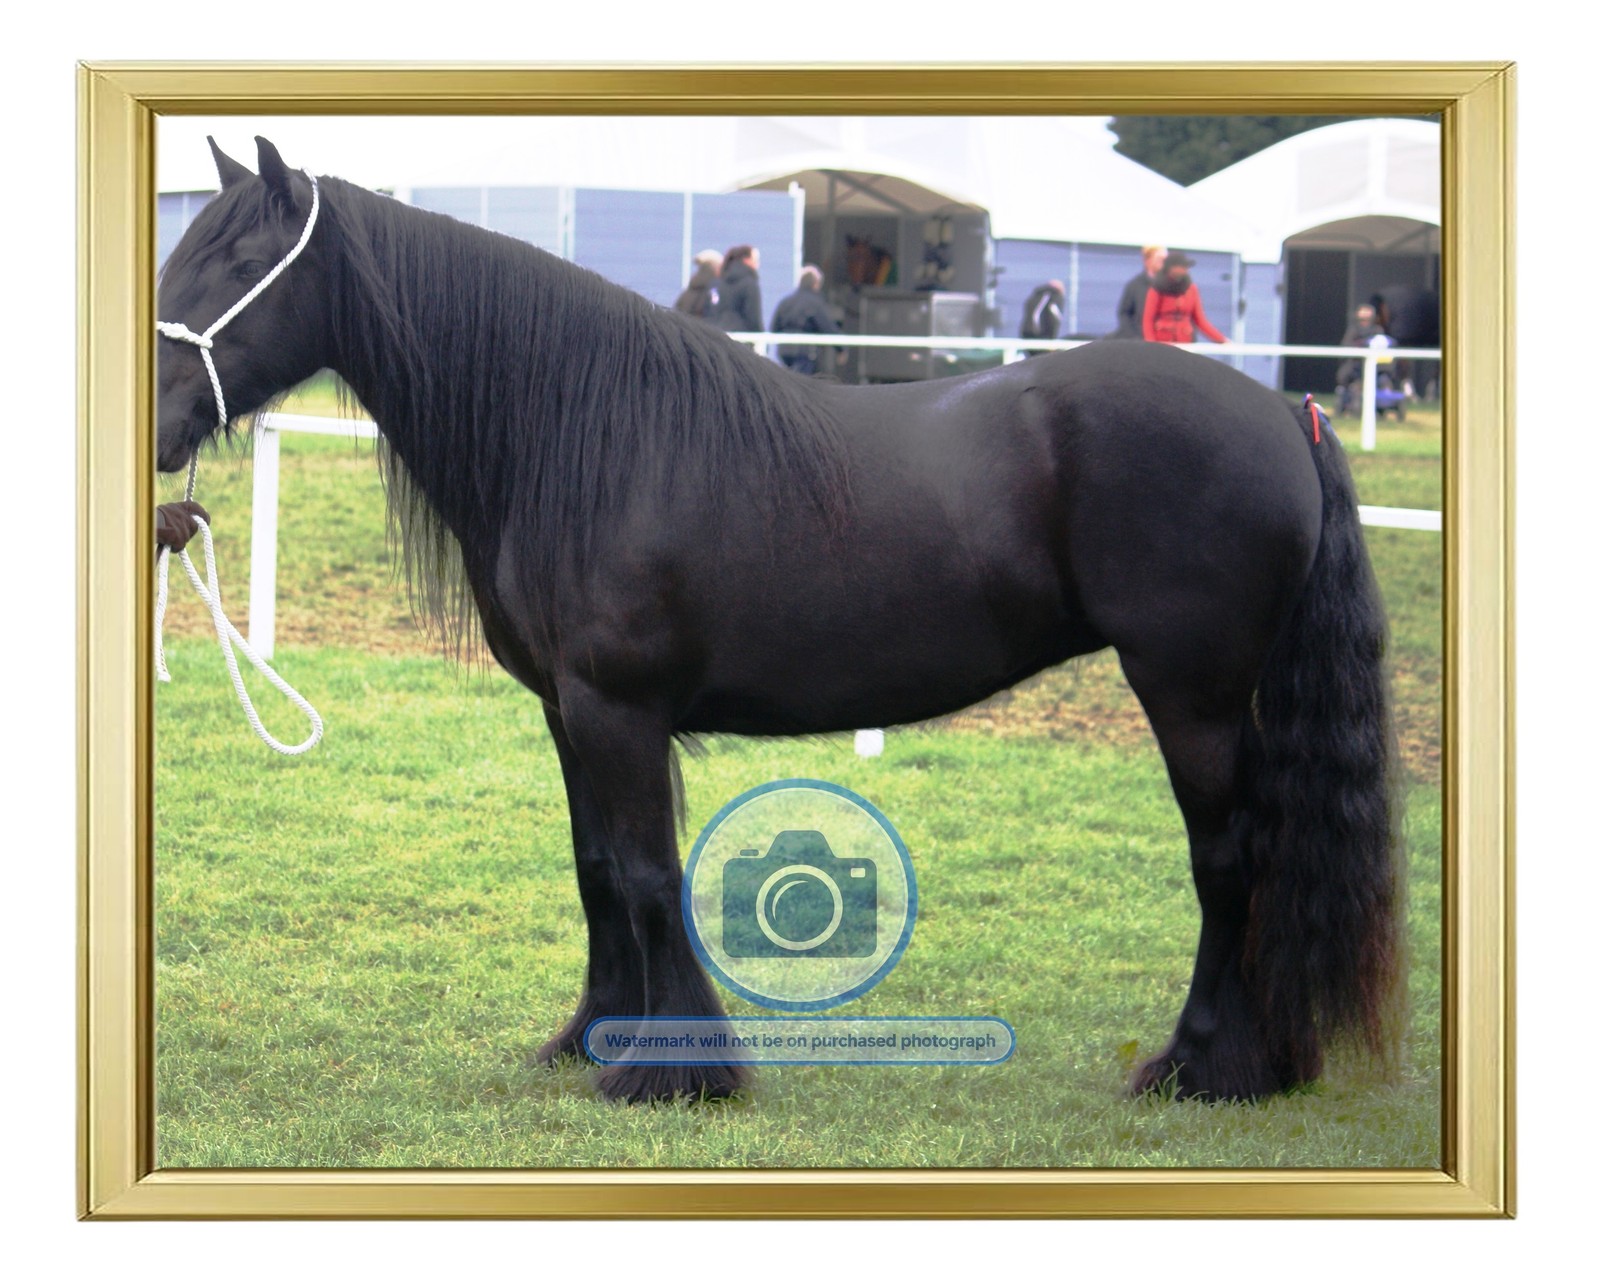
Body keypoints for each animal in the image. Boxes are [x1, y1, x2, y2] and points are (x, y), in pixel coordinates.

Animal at [157, 137, 1403, 1105]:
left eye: (240, 262)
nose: (157, 420)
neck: (582, 433)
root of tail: (1283, 413)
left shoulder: (616, 709)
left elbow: (644, 872)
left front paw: (675, 1072)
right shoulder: (568, 709)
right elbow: (595, 868)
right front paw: (590, 1039)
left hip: (1189, 690)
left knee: (1229, 857)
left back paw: (1201, 1064)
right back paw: (1265, 1059)